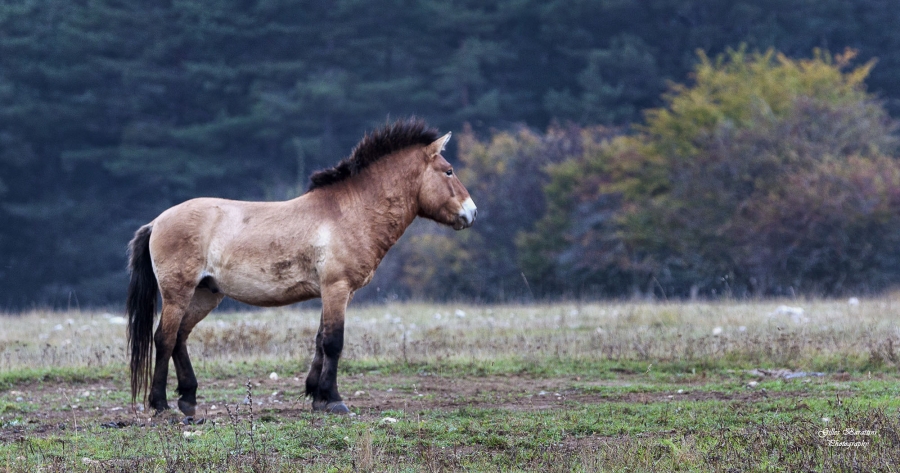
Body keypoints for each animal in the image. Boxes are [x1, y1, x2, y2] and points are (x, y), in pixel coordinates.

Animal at [126, 118, 477, 416]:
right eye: (448, 171)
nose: (471, 213)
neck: (348, 212)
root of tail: (156, 222)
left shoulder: (335, 292)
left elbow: (321, 340)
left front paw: (317, 396)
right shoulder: (336, 287)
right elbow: (334, 342)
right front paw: (334, 400)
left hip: (205, 294)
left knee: (181, 338)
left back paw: (188, 400)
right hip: (178, 293)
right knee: (164, 339)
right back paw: (161, 405)